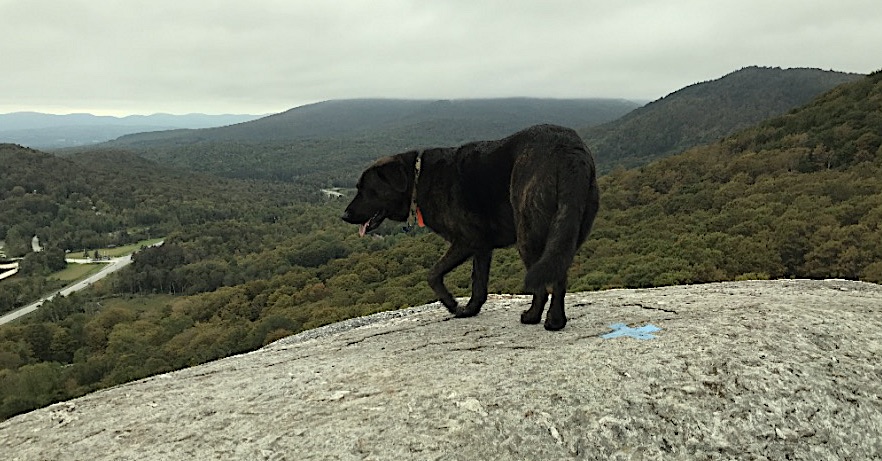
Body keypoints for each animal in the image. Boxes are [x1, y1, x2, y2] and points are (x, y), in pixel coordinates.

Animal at [338, 124, 600, 328]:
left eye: (365, 189)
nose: (344, 215)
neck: (418, 178)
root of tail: (569, 151)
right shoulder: (482, 247)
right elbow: (479, 283)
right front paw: (470, 310)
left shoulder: (466, 241)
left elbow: (433, 274)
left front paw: (452, 304)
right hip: (565, 233)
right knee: (559, 274)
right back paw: (556, 320)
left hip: (528, 234)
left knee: (542, 286)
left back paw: (535, 317)